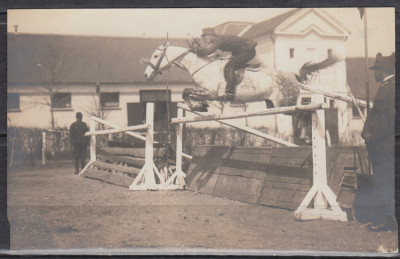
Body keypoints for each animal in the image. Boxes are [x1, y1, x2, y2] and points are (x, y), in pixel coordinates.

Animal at [144, 41, 340, 111]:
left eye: (155, 56)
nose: (146, 75)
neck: (201, 65)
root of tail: (292, 74)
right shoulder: (205, 91)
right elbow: (186, 93)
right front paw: (200, 106)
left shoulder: (212, 93)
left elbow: (186, 92)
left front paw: (200, 106)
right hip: (272, 105)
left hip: (286, 105)